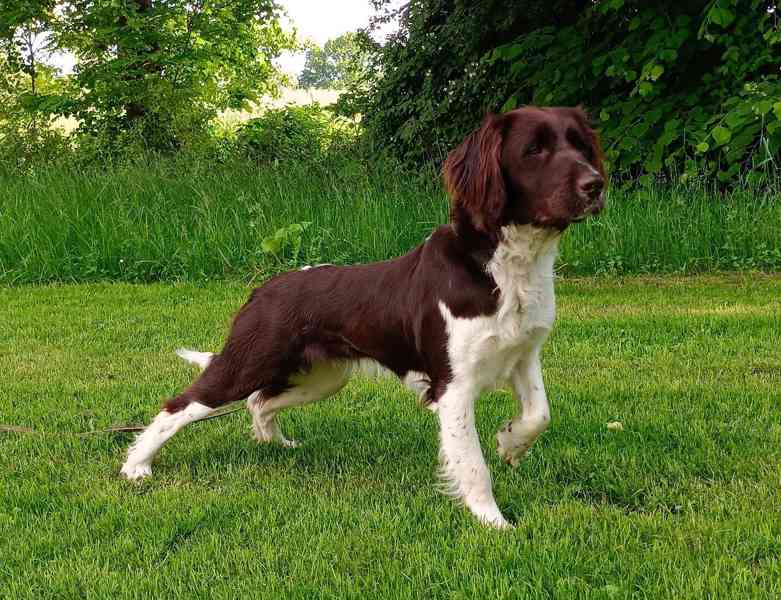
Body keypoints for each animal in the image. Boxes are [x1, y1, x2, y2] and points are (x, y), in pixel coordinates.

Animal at [122, 105, 608, 528]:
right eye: (534, 149)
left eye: (580, 145)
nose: (596, 184)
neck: (502, 268)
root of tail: (263, 289)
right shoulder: (452, 386)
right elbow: (472, 465)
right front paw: (495, 523)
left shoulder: (524, 354)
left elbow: (539, 414)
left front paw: (510, 442)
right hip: (248, 363)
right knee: (180, 405)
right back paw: (136, 466)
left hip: (322, 377)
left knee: (258, 402)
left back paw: (276, 444)